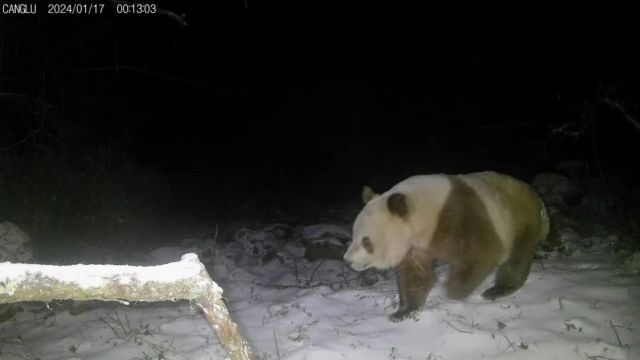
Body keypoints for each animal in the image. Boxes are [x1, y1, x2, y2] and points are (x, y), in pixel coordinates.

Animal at [342, 170, 548, 322]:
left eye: (366, 241)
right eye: (353, 234)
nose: (347, 260)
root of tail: (537, 198)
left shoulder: (459, 215)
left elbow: (483, 251)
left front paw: (453, 290)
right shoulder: (415, 244)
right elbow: (414, 275)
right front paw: (403, 311)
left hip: (520, 219)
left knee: (517, 256)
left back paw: (498, 290)